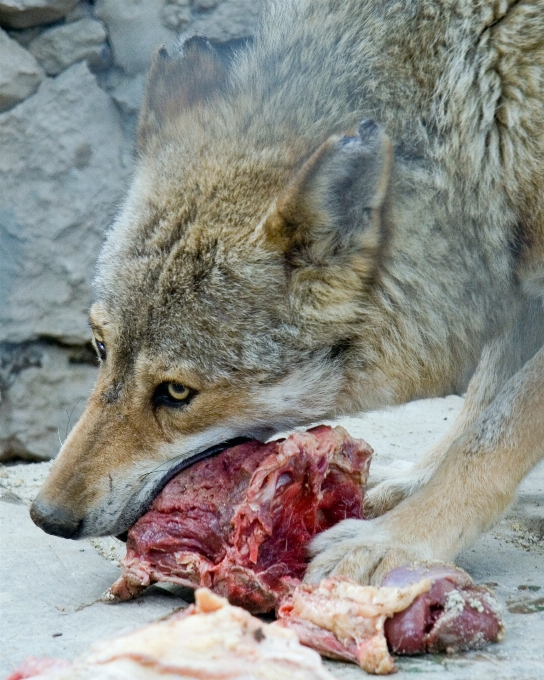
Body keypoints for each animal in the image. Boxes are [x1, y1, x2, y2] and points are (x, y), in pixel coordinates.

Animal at [30, 0, 544, 584]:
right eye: (100, 347)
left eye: (177, 392)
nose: (47, 517)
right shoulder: (512, 278)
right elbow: (480, 409)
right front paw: (412, 483)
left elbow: (497, 433)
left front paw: (398, 541)